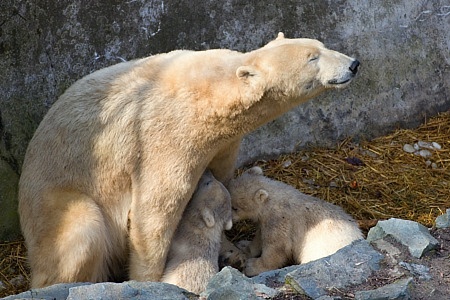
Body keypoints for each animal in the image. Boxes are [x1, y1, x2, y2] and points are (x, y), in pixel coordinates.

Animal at [19, 31, 360, 288]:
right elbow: (155, 212)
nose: (354, 64)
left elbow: (218, 180)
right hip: (53, 200)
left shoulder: (222, 142)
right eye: (312, 58)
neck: (213, 94)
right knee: (80, 232)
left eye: (322, 45)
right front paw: (151, 280)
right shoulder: (167, 137)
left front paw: (231, 250)